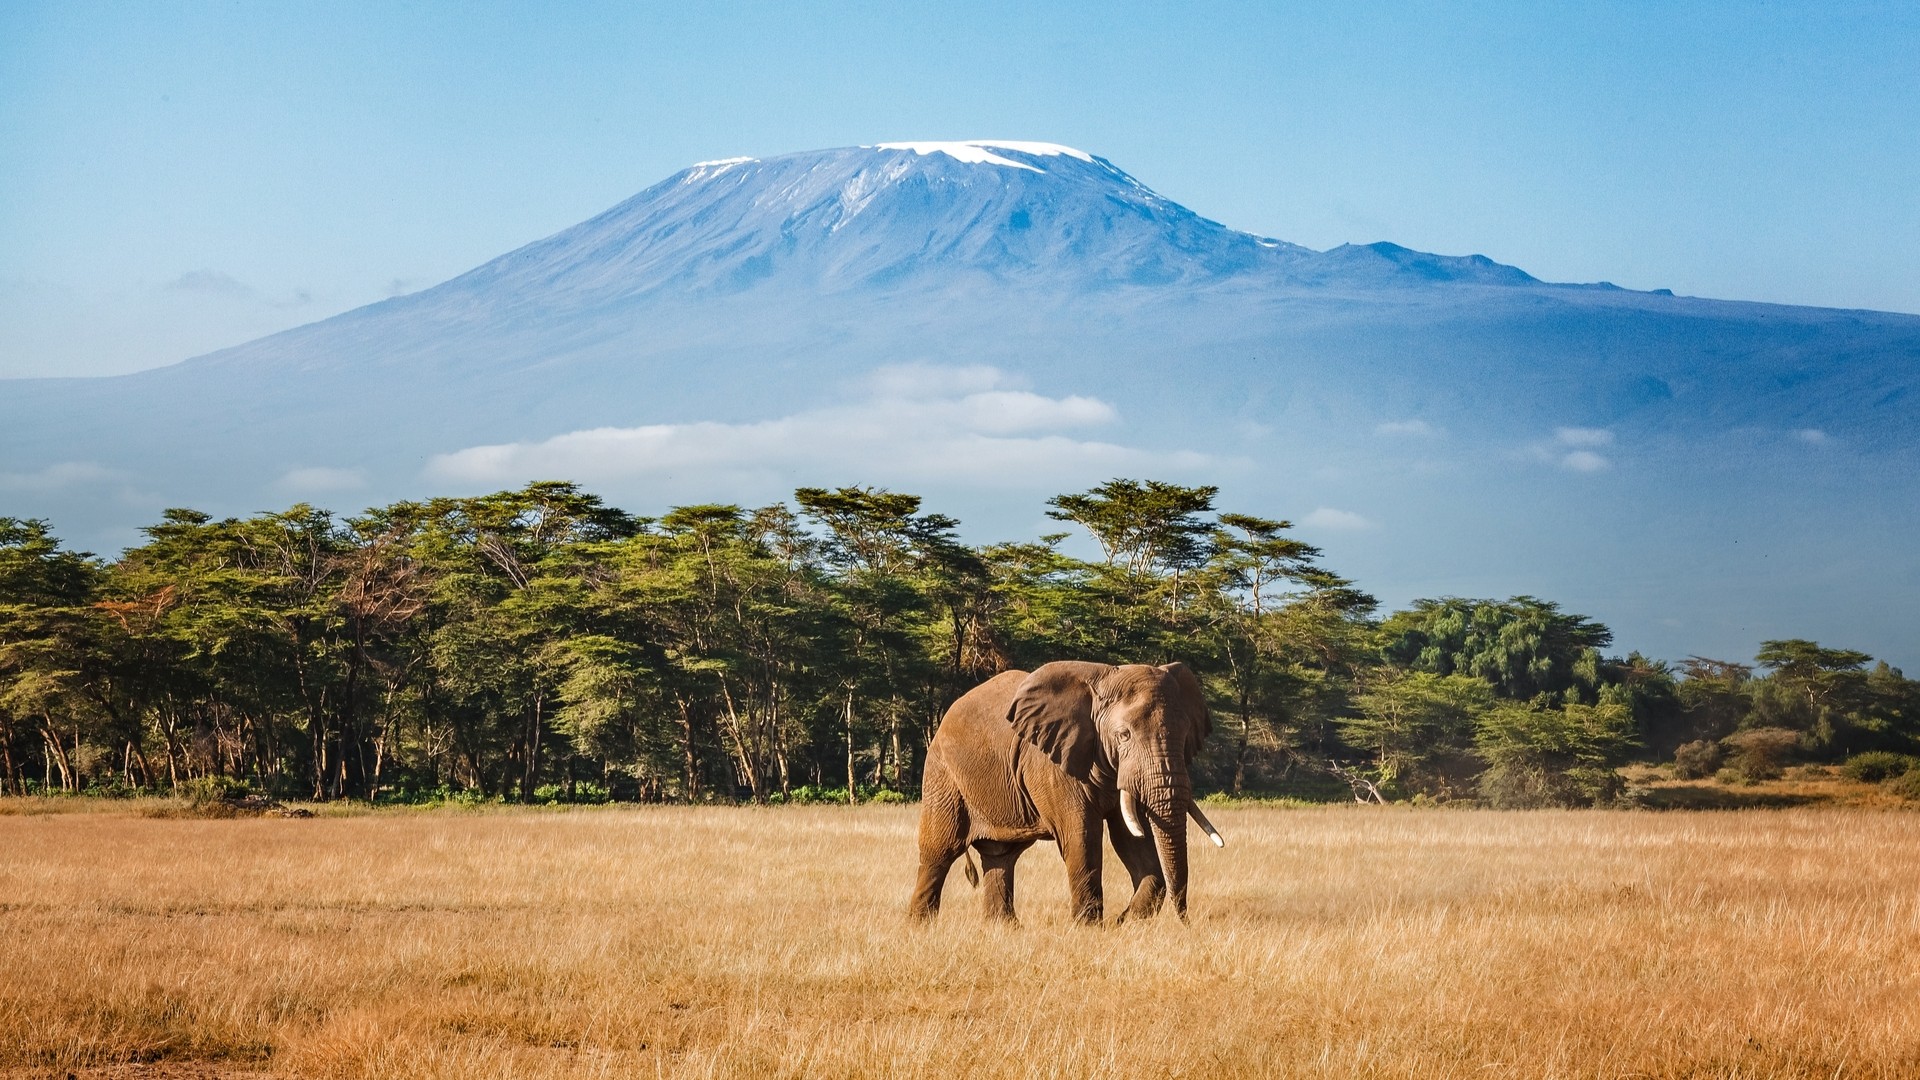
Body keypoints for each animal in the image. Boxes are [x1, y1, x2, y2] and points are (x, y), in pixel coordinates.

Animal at [907, 661, 1225, 925]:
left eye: (1185, 736)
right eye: (1123, 735)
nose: (1185, 922)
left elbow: (1130, 837)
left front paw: (1123, 923)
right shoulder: (1052, 765)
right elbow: (1081, 836)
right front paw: (1090, 928)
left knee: (1001, 856)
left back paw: (1003, 930)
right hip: (943, 775)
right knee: (939, 850)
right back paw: (920, 927)